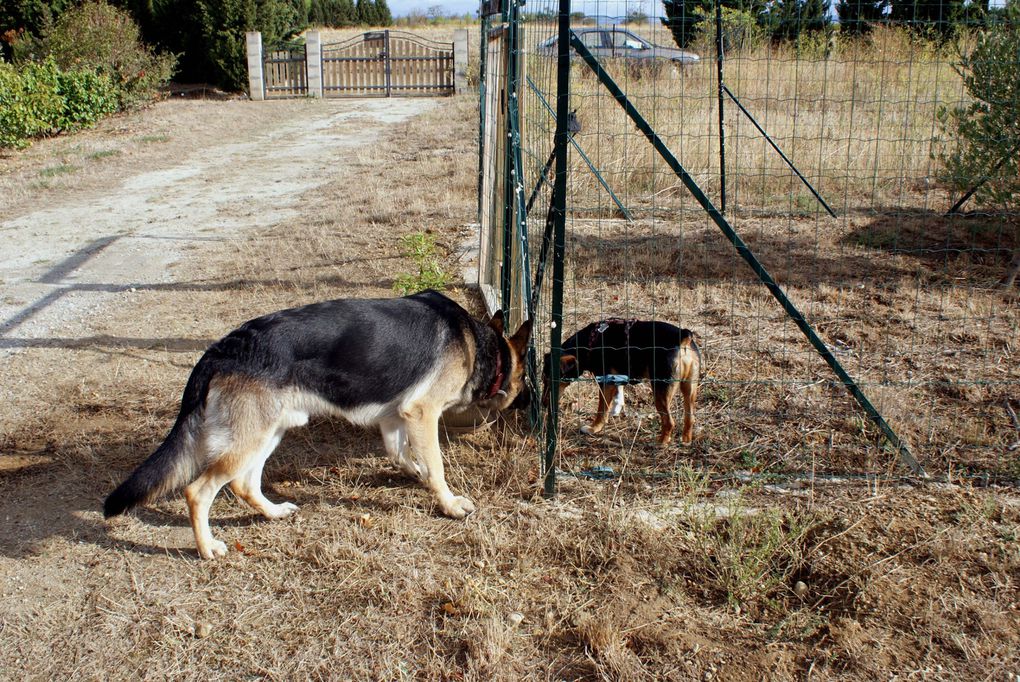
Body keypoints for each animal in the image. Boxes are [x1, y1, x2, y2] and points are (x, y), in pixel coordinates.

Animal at [103, 289, 534, 554]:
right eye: (525, 375)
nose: (532, 400)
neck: (480, 342)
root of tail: (222, 349)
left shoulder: (397, 416)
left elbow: (401, 453)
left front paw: (417, 474)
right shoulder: (421, 412)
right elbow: (437, 465)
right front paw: (449, 503)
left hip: (270, 432)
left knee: (244, 484)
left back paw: (272, 512)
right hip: (251, 437)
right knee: (198, 490)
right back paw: (208, 547)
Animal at [542, 320, 701, 446]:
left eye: (549, 380)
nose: (543, 404)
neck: (589, 343)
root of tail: (683, 337)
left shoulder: (605, 382)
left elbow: (602, 409)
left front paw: (594, 428)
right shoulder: (616, 379)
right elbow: (618, 394)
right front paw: (616, 409)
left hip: (660, 390)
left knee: (669, 422)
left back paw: (661, 443)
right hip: (689, 388)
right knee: (690, 418)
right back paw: (686, 441)